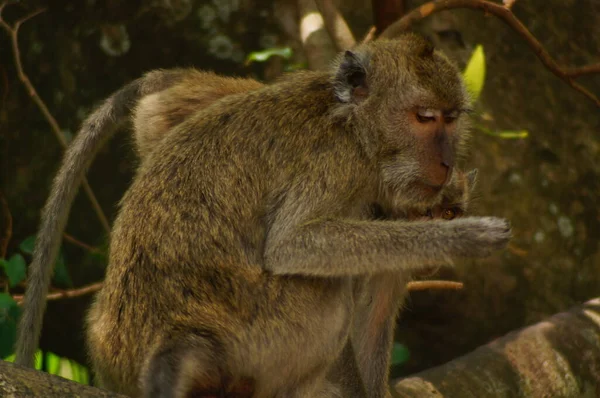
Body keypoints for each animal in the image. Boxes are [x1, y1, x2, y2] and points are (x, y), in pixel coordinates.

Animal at [16, 35, 508, 398]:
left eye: (451, 119)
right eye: (425, 118)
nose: (445, 161)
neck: (355, 126)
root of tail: (179, 333)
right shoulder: (338, 164)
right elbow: (294, 245)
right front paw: (469, 239)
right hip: (260, 333)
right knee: (329, 293)